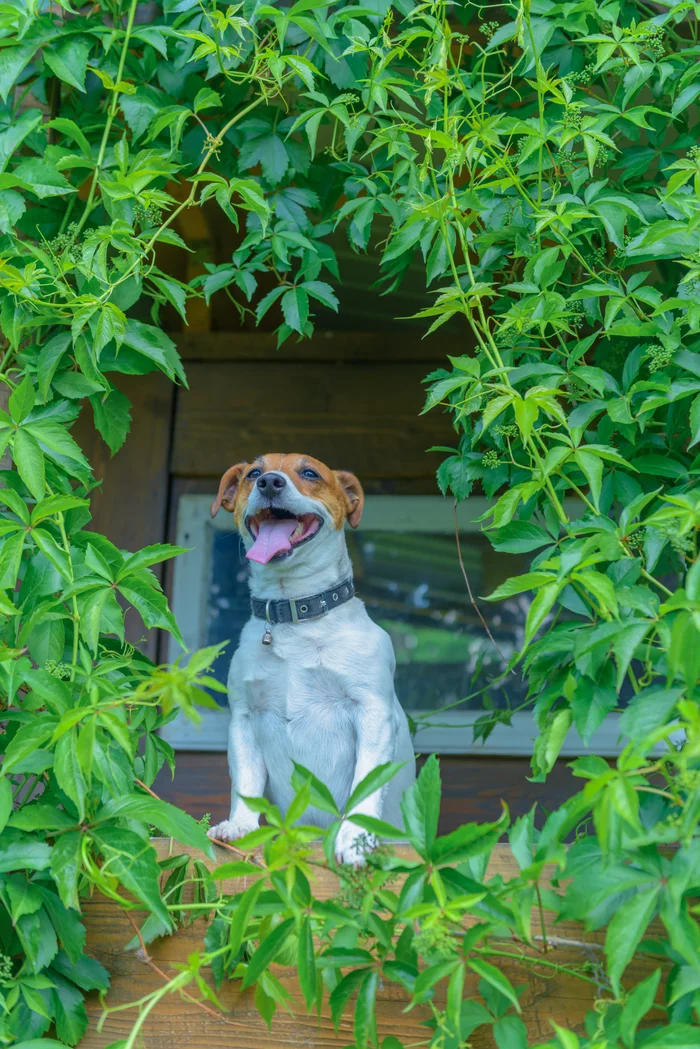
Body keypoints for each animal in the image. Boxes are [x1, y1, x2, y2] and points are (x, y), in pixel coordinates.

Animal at [206, 455, 415, 864]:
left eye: (309, 473)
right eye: (253, 473)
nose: (269, 482)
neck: (294, 618)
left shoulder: (372, 713)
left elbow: (366, 786)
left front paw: (355, 839)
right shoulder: (245, 718)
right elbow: (246, 781)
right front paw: (240, 825)